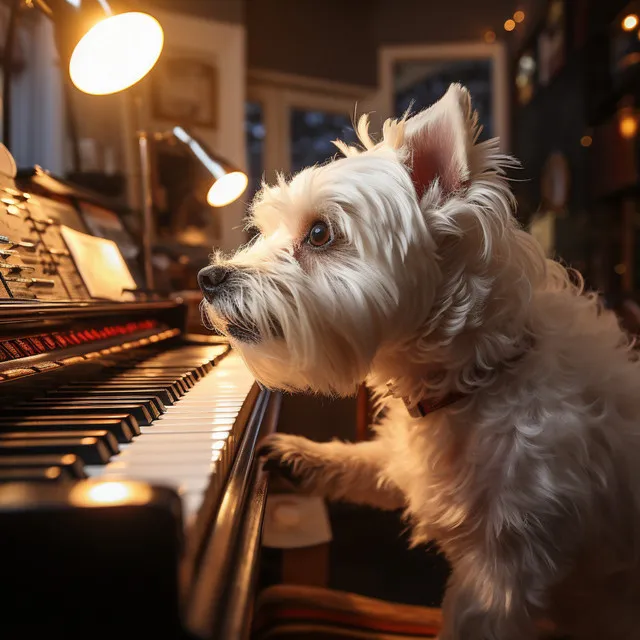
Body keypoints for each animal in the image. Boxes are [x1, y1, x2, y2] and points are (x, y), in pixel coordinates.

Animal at [198, 85, 640, 640]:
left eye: (320, 233)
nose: (206, 278)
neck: (475, 376)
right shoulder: (401, 462)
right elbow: (361, 462)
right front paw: (300, 453)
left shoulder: (502, 573)